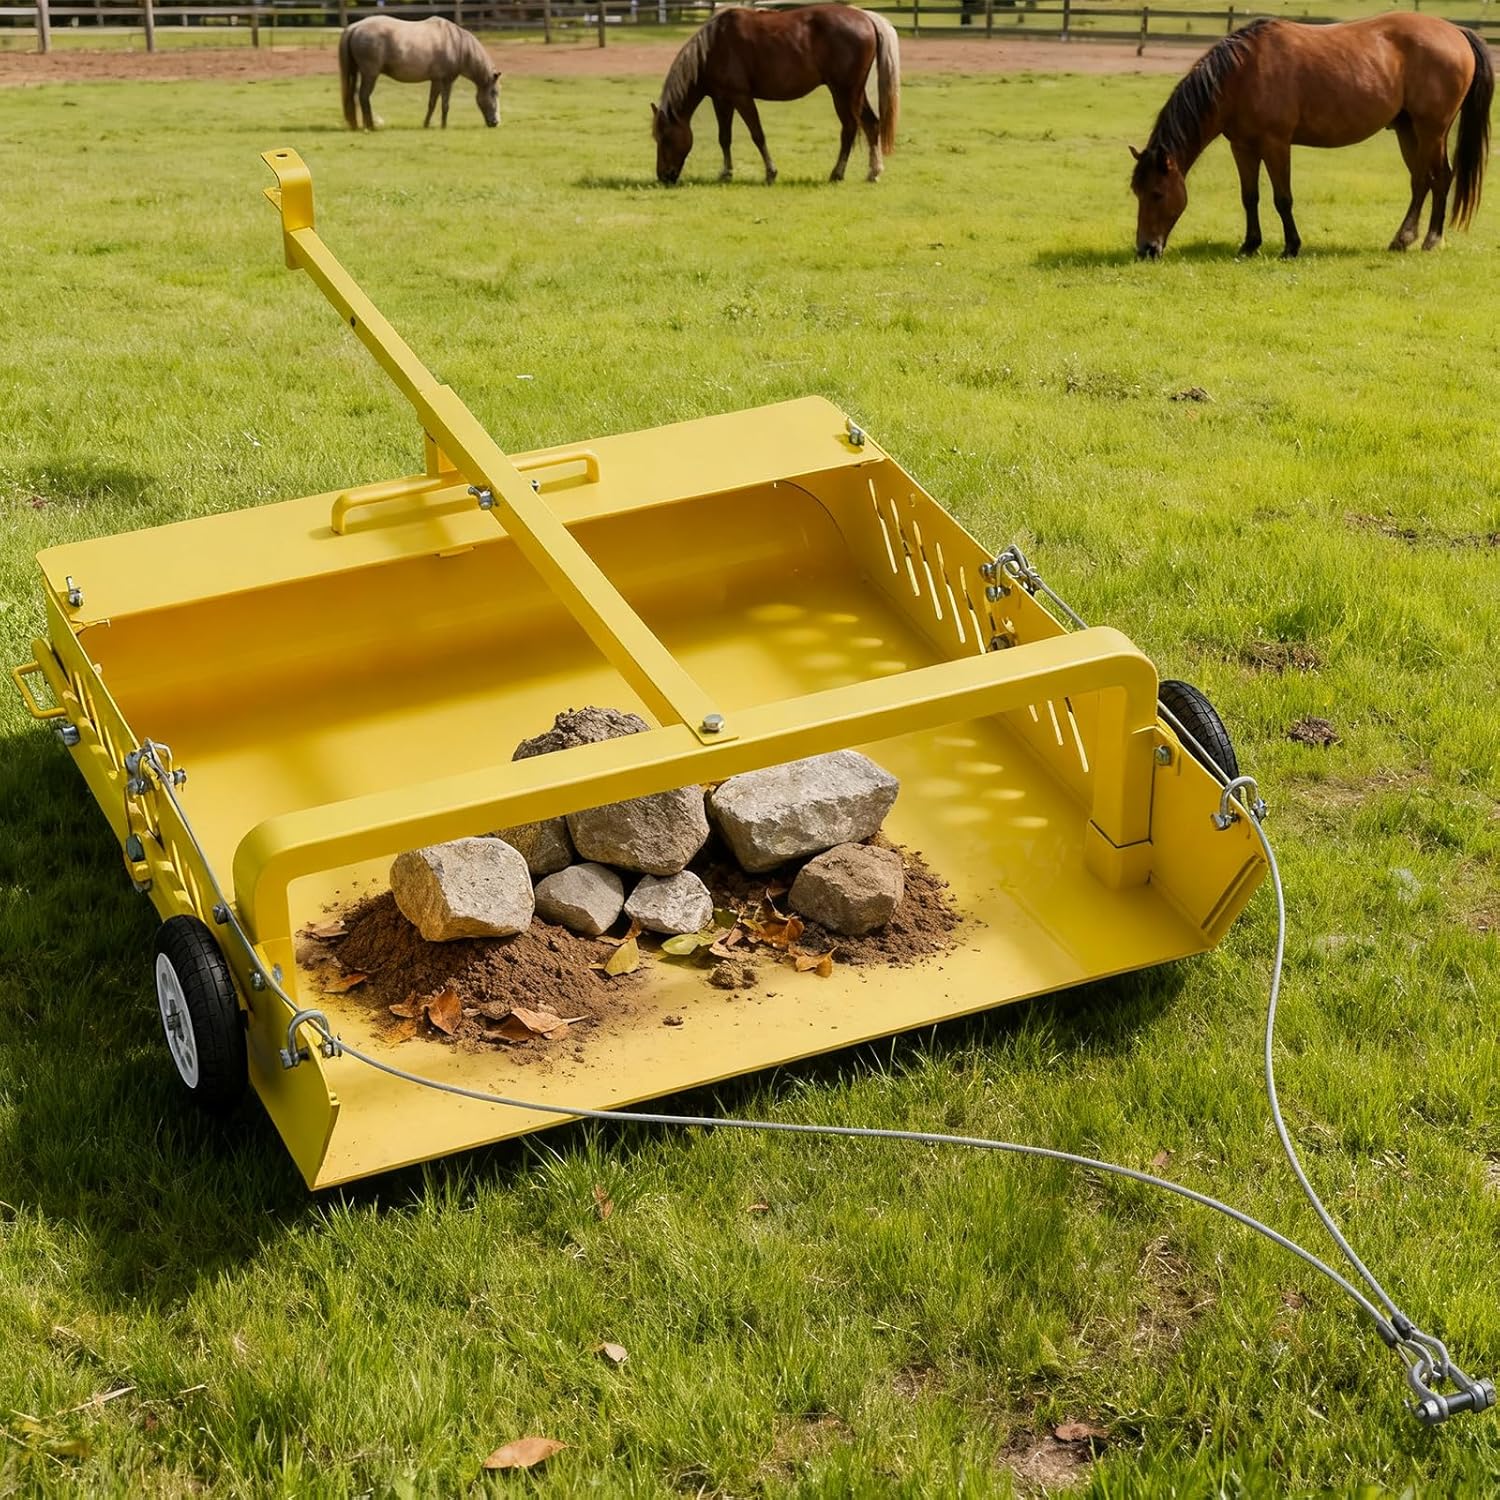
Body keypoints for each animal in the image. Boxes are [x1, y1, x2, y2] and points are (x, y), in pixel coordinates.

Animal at [338, 16, 500, 132]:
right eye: (494, 93)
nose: (496, 122)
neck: (457, 44)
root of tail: (355, 27)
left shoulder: (437, 81)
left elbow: (433, 103)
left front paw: (428, 124)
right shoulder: (446, 80)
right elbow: (444, 104)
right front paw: (442, 126)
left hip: (358, 73)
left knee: (356, 97)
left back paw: (361, 125)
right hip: (370, 75)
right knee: (364, 96)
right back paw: (371, 126)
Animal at [651, 5, 900, 186]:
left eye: (665, 138)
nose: (663, 176)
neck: (713, 47)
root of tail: (865, 17)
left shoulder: (741, 97)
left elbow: (758, 135)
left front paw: (770, 172)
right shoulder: (722, 100)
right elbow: (724, 138)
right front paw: (726, 173)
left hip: (844, 92)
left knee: (850, 128)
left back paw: (838, 173)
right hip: (854, 92)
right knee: (871, 124)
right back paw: (873, 172)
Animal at [1130, 15, 1492, 259]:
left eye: (1158, 194)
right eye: (1137, 192)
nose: (1145, 249)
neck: (1242, 73)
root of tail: (1455, 31)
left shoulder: (1276, 143)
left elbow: (1282, 198)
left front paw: (1291, 247)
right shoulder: (1242, 147)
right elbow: (1250, 197)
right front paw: (1249, 245)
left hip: (1432, 129)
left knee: (1439, 177)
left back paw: (1431, 239)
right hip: (1407, 129)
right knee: (1420, 181)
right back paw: (1403, 239)